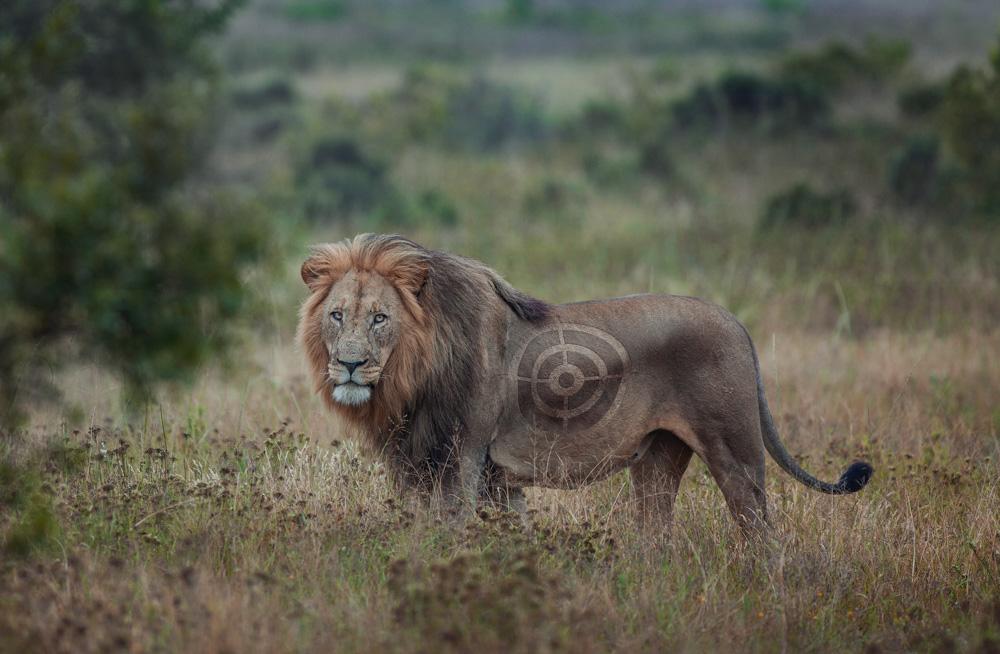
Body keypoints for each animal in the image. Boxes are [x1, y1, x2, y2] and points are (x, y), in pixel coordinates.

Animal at [298, 233, 873, 533]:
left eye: (380, 319)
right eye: (337, 315)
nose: (349, 365)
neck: (411, 377)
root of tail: (738, 324)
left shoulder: (461, 458)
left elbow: (452, 532)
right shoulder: (454, 468)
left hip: (735, 451)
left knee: (760, 532)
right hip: (657, 459)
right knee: (656, 536)